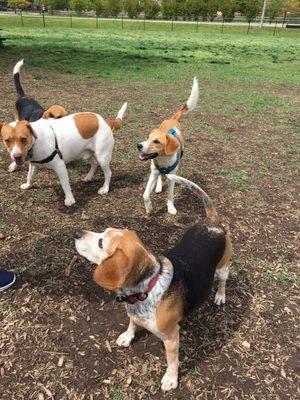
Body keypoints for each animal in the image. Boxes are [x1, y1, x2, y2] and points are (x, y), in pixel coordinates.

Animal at [73, 174, 232, 390]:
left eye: (100, 243)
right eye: (102, 232)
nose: (76, 233)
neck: (147, 288)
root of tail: (213, 223)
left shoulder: (172, 336)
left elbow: (172, 360)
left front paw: (171, 378)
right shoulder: (134, 313)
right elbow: (132, 323)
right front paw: (128, 336)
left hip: (223, 268)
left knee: (223, 282)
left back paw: (220, 296)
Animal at [137, 78, 198, 216]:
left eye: (156, 141)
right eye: (147, 137)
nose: (139, 145)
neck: (163, 160)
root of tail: (172, 119)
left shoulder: (172, 177)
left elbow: (170, 195)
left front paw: (170, 208)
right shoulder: (153, 172)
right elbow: (145, 195)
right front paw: (149, 208)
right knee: (159, 177)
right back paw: (159, 186)